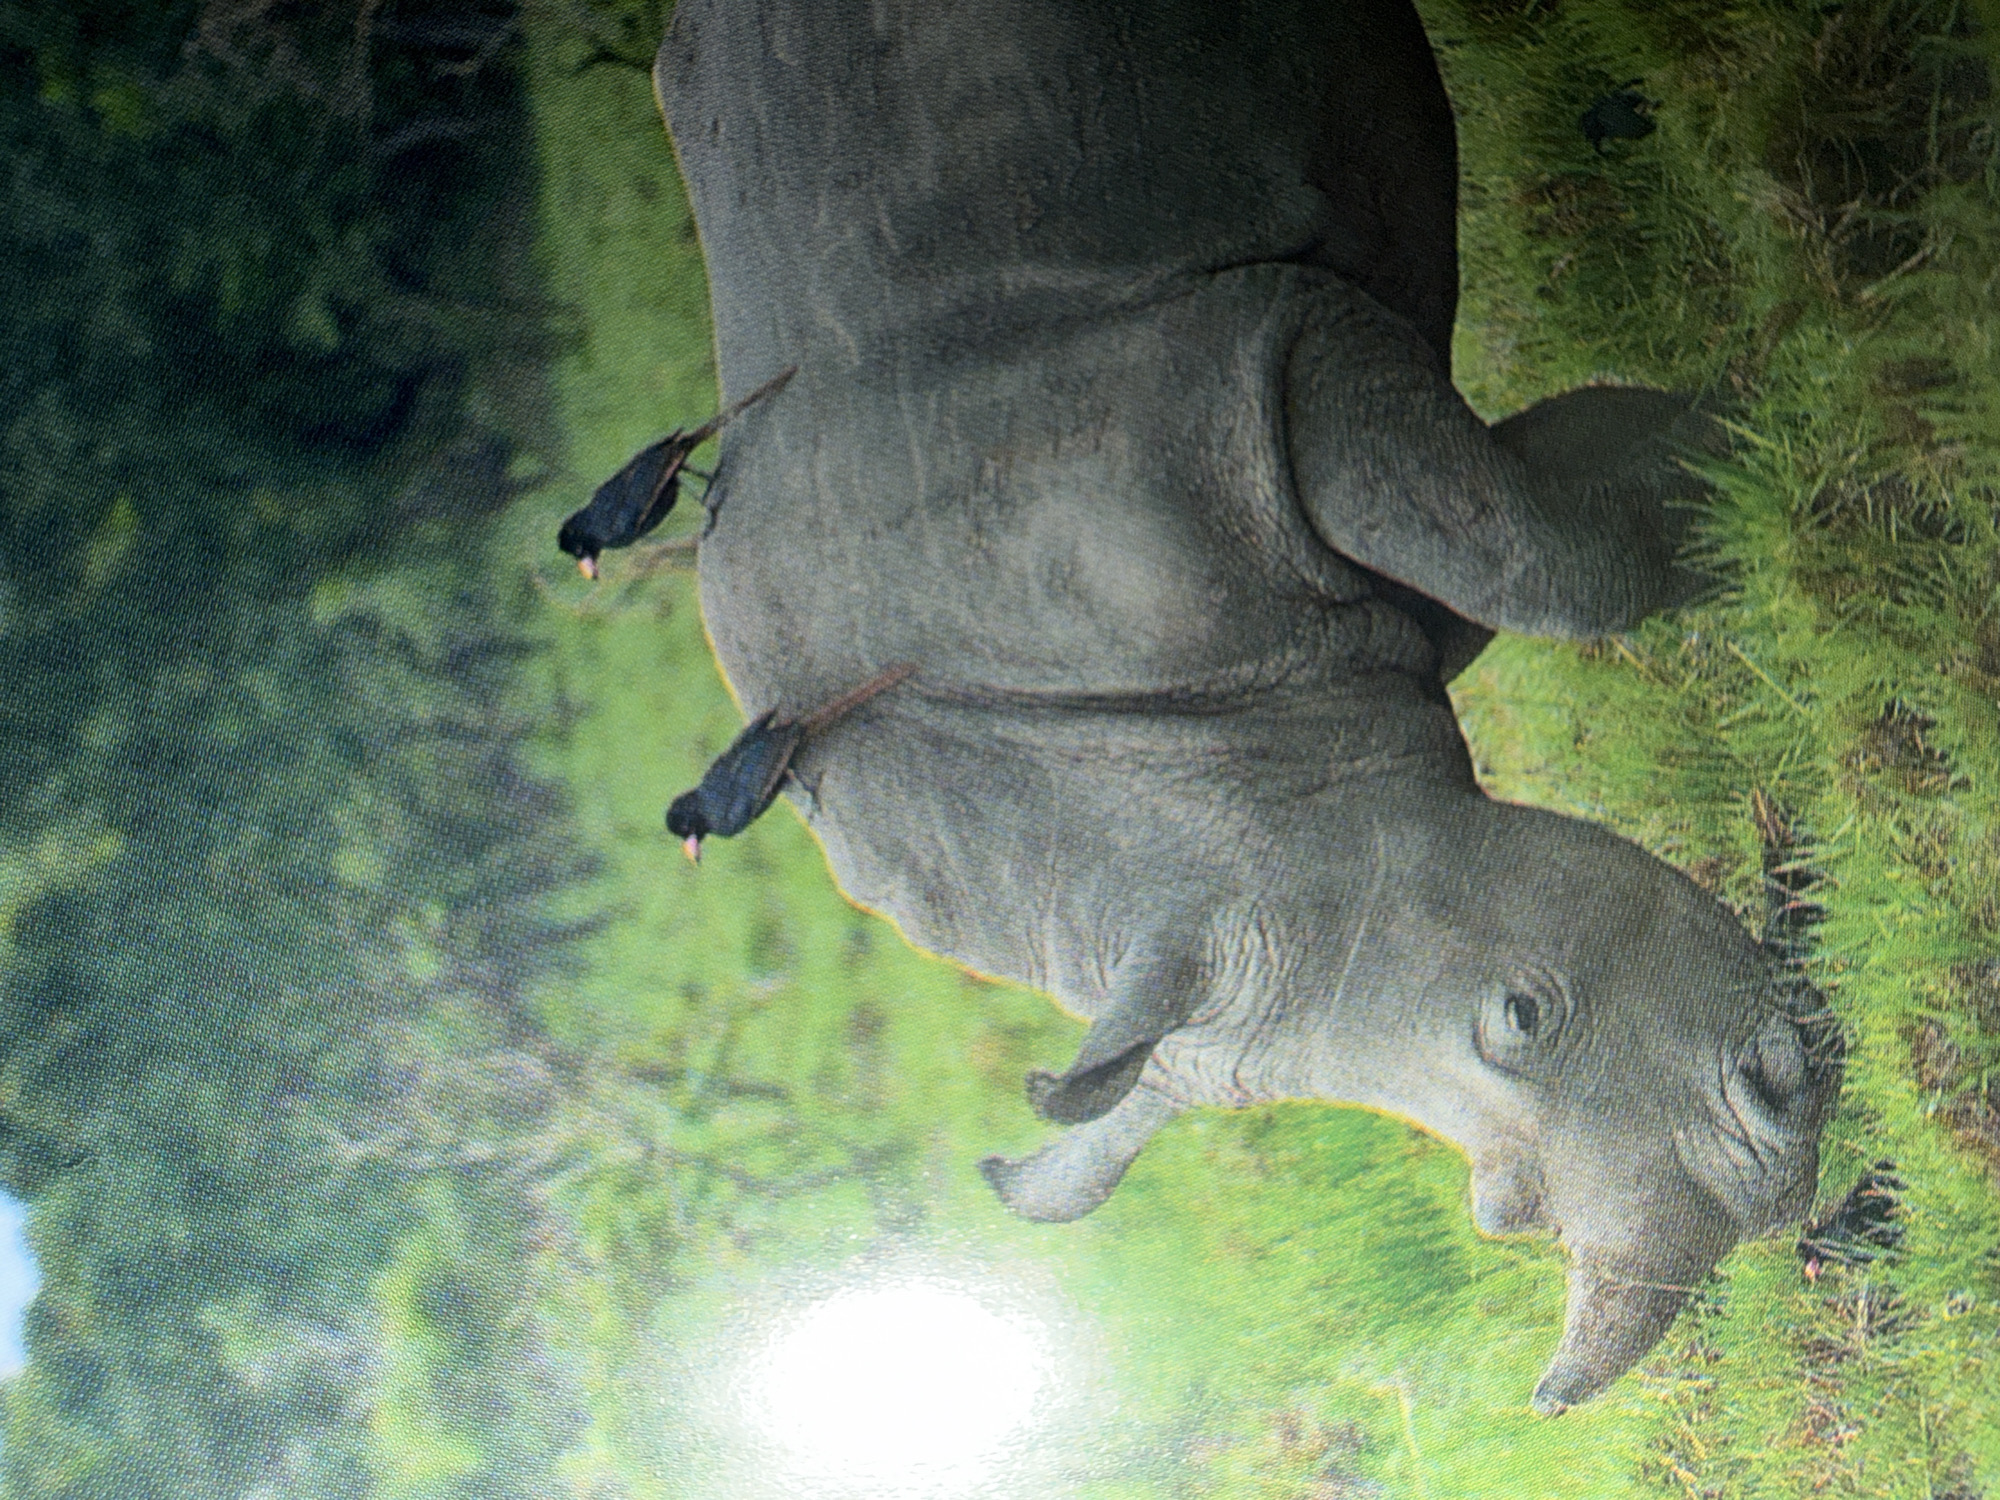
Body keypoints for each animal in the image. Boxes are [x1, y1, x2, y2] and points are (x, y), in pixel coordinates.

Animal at [645, 0, 1842, 1412]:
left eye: (1519, 1016)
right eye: (1499, 1210)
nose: (1771, 1184)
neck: (1200, 784)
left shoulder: (1246, 379)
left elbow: (1550, 563)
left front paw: (1784, 408)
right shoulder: (1283, 459)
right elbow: (1530, 525)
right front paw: (1748, 452)